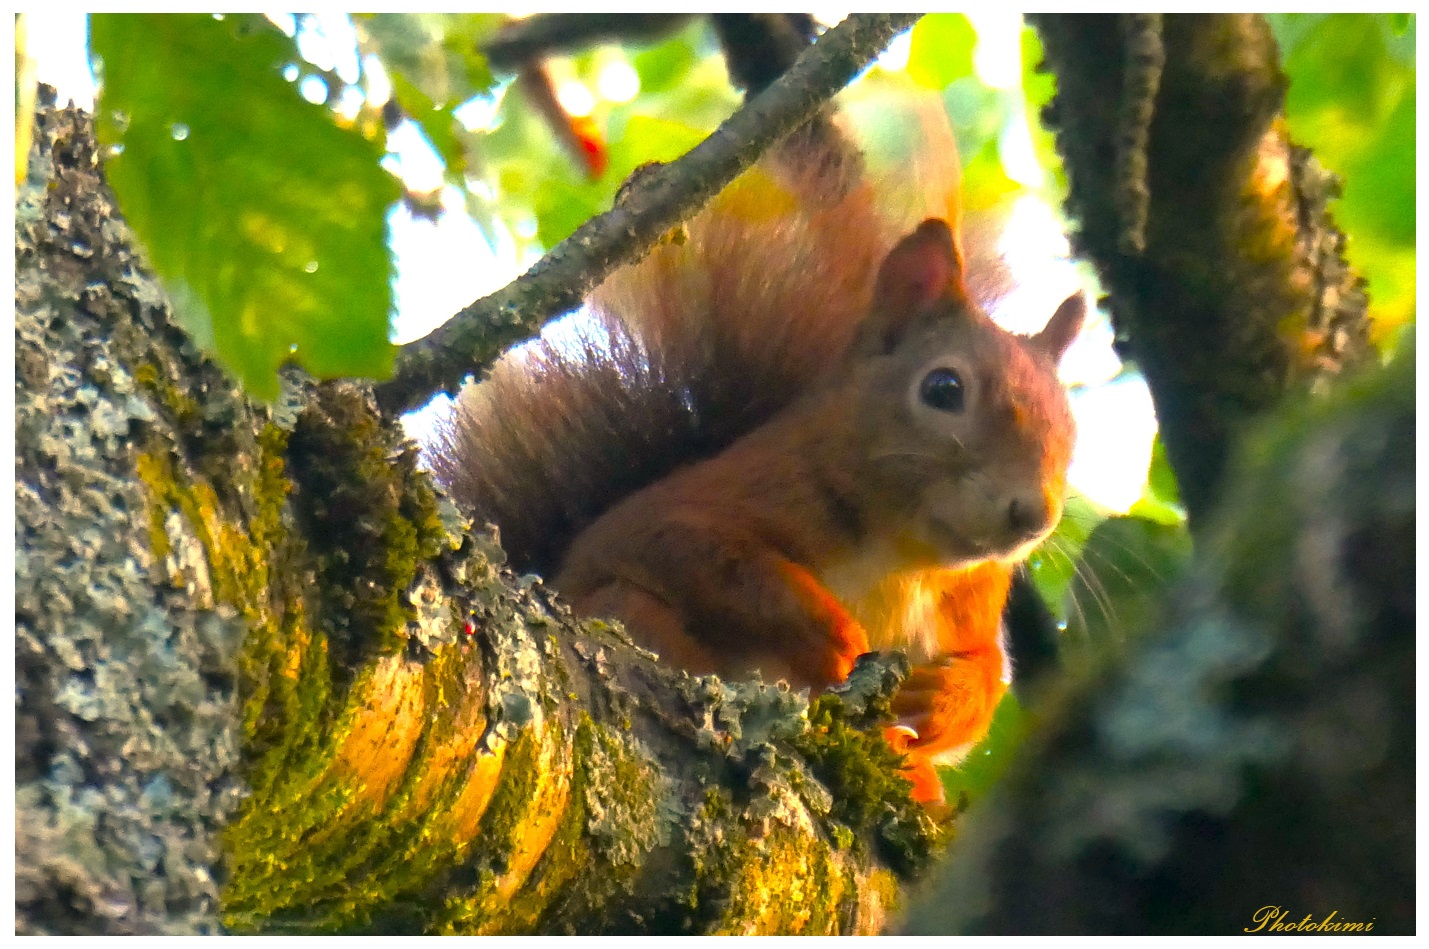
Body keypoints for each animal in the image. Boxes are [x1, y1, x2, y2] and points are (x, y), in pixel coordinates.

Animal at [434, 102, 1080, 800]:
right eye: (943, 388)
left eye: (1072, 431)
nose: (1033, 515)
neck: (904, 559)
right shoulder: (725, 494)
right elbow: (695, 550)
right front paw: (832, 637)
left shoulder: (973, 603)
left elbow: (986, 674)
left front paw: (944, 698)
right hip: (628, 610)